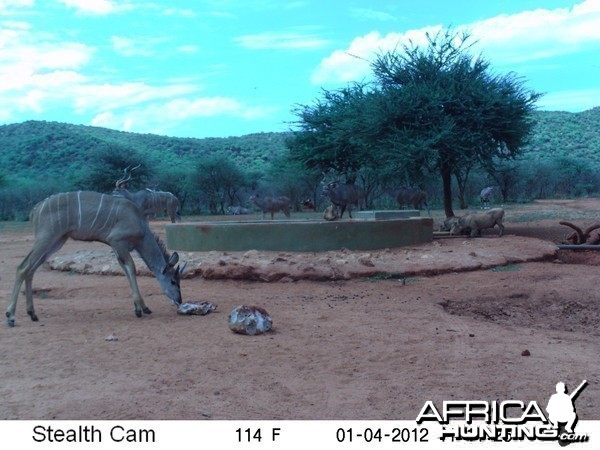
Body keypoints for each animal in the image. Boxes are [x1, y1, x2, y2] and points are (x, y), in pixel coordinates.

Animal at [5, 191, 185, 326]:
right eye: (173, 281)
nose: (179, 300)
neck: (139, 223)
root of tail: (35, 211)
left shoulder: (118, 248)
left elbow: (126, 270)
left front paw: (141, 307)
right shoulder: (117, 241)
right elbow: (131, 268)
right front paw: (141, 309)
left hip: (57, 241)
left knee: (31, 268)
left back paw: (32, 313)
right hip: (46, 238)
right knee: (23, 267)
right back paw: (11, 316)